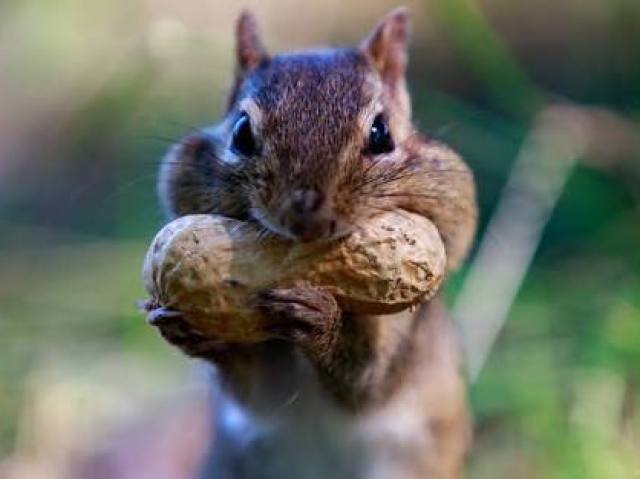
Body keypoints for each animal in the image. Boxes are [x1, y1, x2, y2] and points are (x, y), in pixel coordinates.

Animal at [149, 7, 476, 479]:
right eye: (241, 132)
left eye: (382, 133)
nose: (306, 212)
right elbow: (253, 387)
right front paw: (187, 329)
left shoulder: (404, 334)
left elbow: (366, 381)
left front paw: (319, 320)